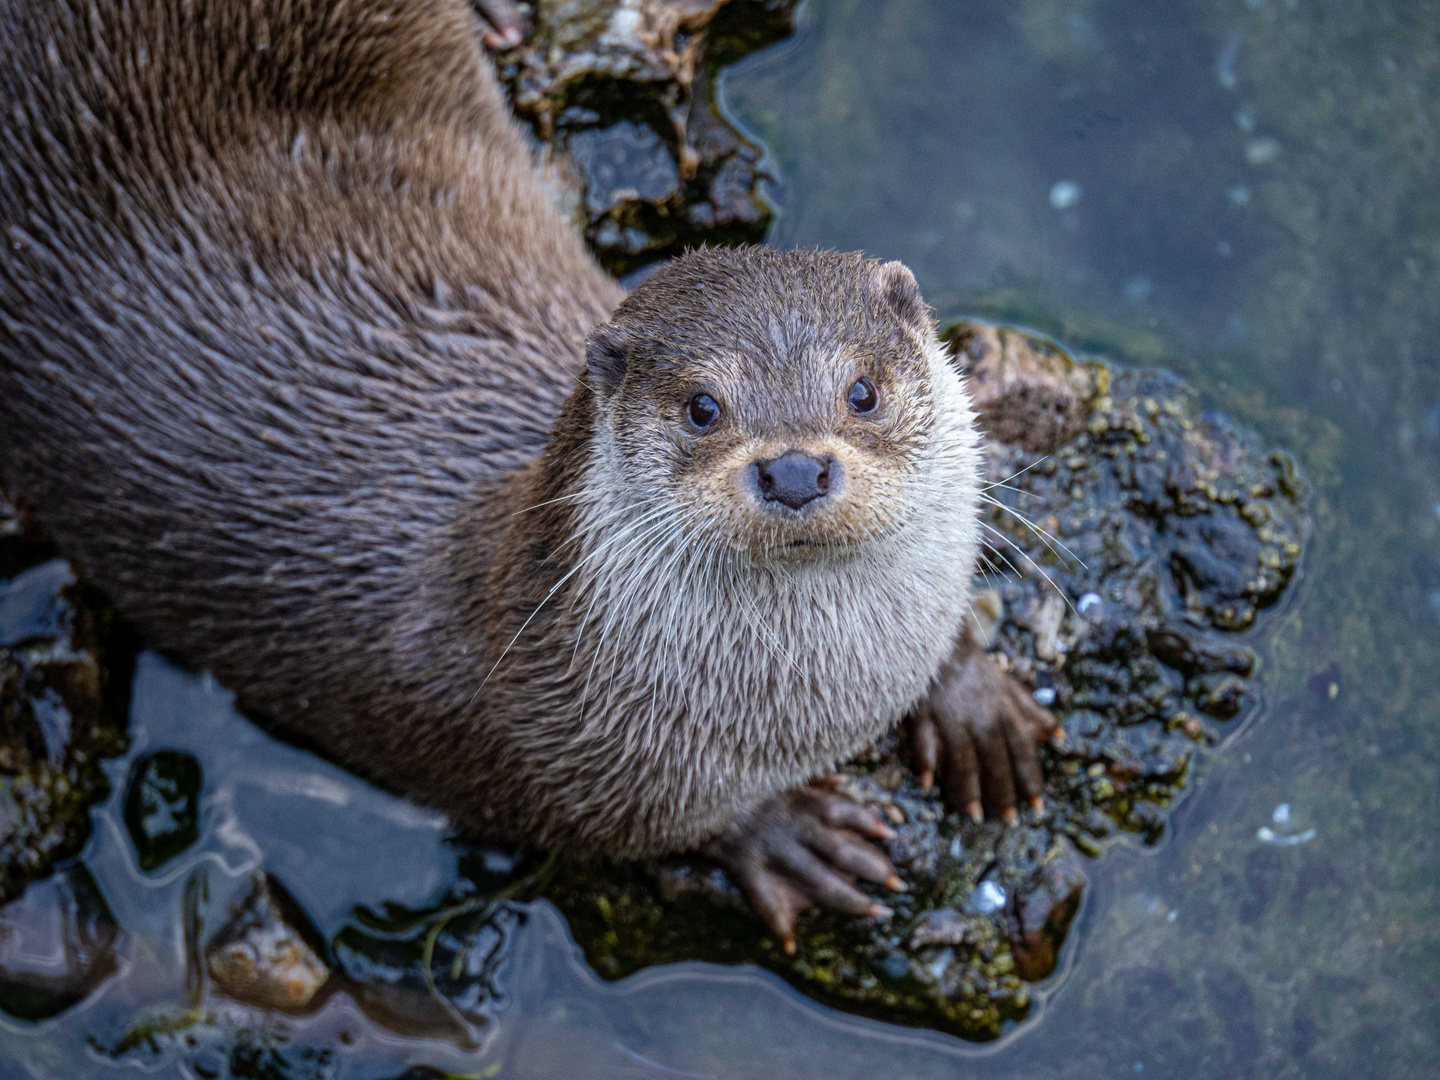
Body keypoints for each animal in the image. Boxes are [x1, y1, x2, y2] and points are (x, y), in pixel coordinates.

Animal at [0, 0, 1059, 944]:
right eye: (702, 407)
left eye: (861, 391)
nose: (795, 470)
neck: (818, 704)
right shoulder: (553, 753)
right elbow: (640, 823)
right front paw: (783, 834)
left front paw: (971, 699)